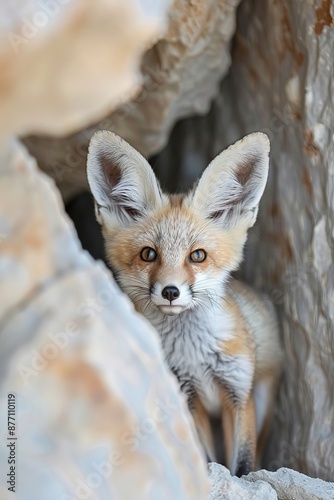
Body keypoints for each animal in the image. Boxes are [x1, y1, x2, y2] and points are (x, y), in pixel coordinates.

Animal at [86, 129, 282, 476]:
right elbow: (206, 456)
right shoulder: (188, 397)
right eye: (148, 254)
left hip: (263, 397)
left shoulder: (238, 392)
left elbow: (243, 464)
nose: (170, 291)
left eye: (198, 256)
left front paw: (241, 480)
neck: (195, 355)